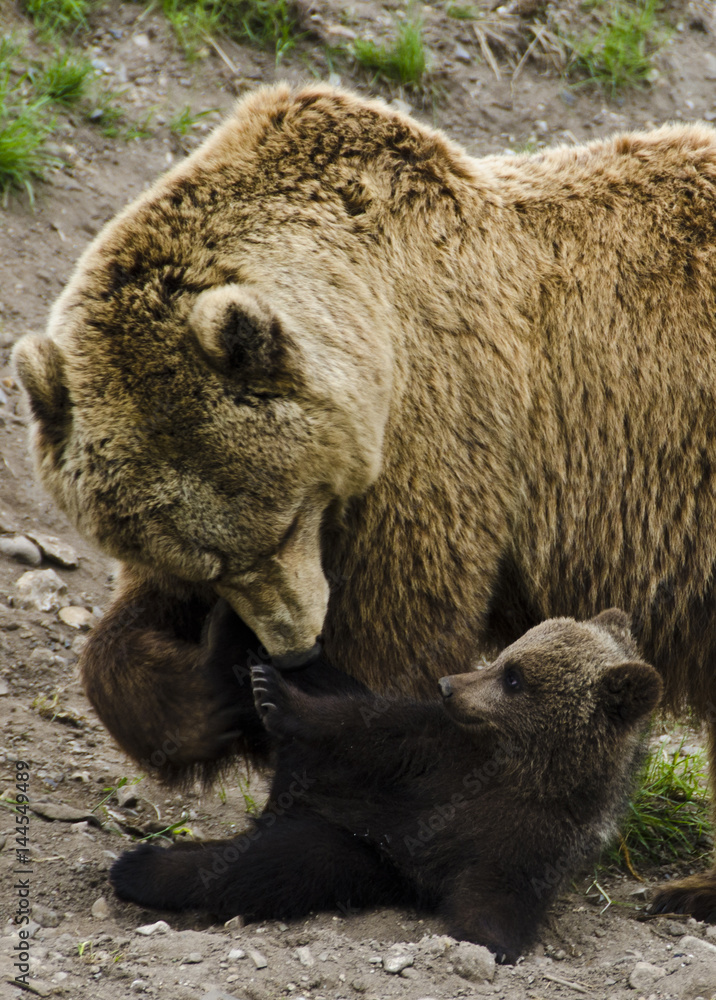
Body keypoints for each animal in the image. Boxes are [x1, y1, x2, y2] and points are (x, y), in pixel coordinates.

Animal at [11, 84, 716, 919]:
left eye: (282, 522)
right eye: (208, 563)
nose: (295, 643)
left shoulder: (436, 452)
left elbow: (390, 664)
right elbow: (131, 643)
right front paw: (209, 687)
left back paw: (691, 888)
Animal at [109, 609, 663, 963]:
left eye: (515, 678)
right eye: (506, 655)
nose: (448, 685)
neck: (523, 769)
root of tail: (285, 802)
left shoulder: (536, 838)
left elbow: (499, 895)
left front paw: (486, 942)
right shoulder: (437, 751)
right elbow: (366, 725)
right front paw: (278, 697)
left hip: (362, 855)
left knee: (282, 862)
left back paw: (144, 867)